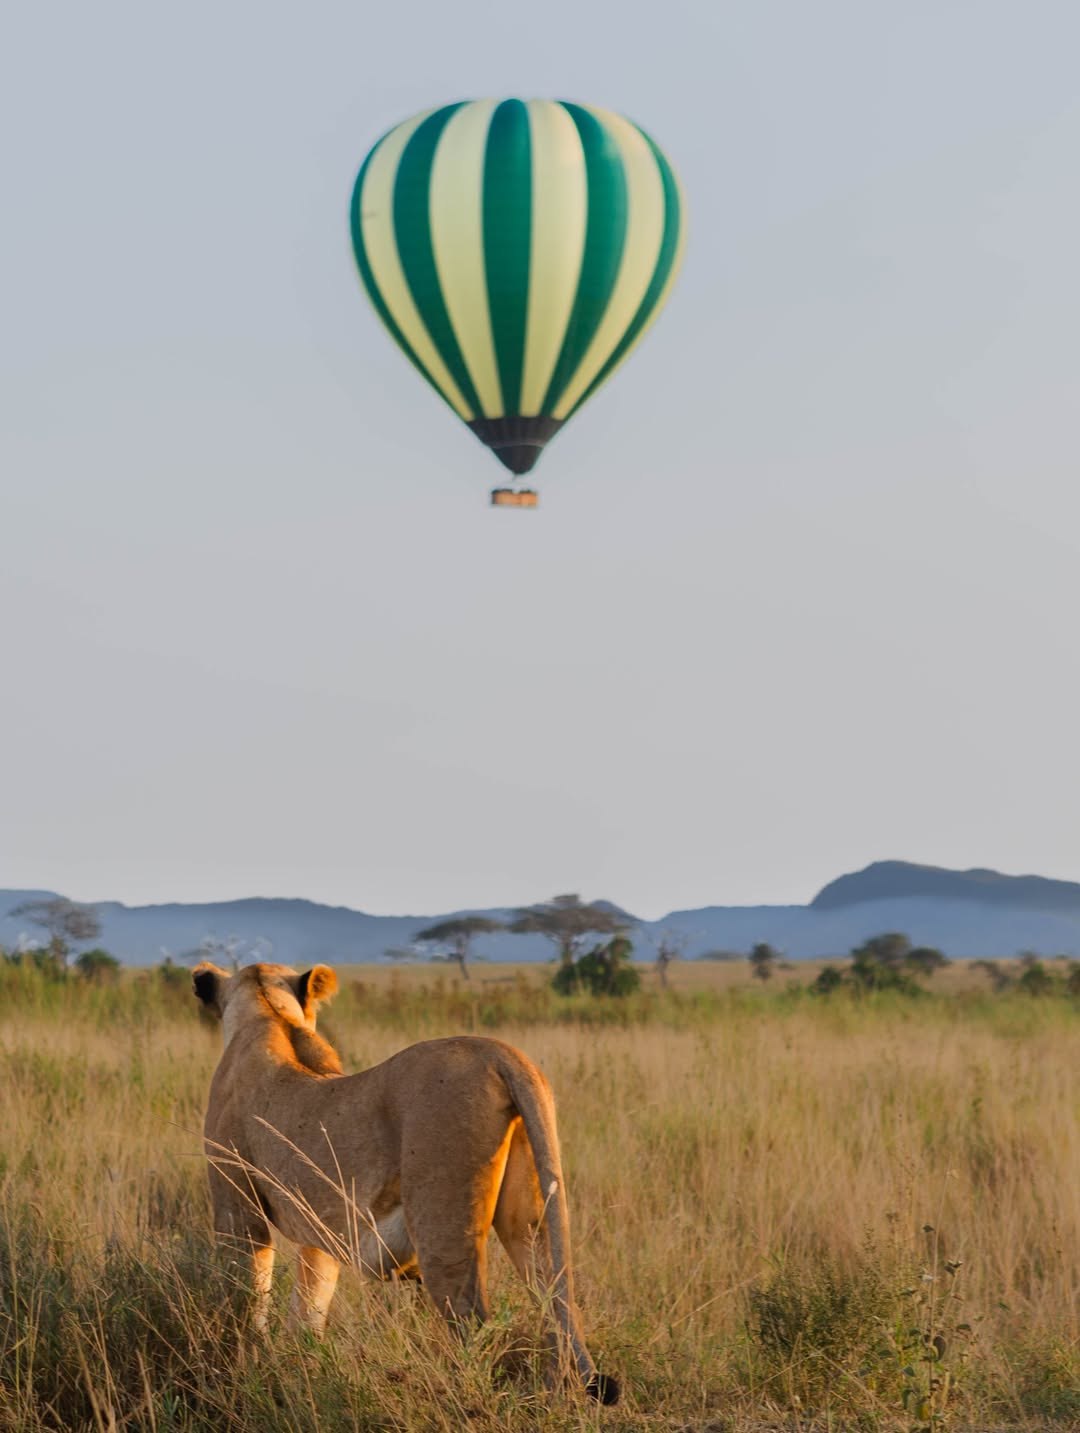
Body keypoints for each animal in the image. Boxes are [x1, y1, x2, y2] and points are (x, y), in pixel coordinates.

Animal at [193, 960, 618, 1403]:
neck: (268, 1014)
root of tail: (499, 1053)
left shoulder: (238, 1208)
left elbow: (245, 1297)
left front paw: (242, 1371)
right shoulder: (320, 1228)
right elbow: (310, 1303)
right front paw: (298, 1367)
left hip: (442, 1228)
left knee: (474, 1322)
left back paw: (466, 1396)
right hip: (529, 1218)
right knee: (555, 1300)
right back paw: (555, 1395)